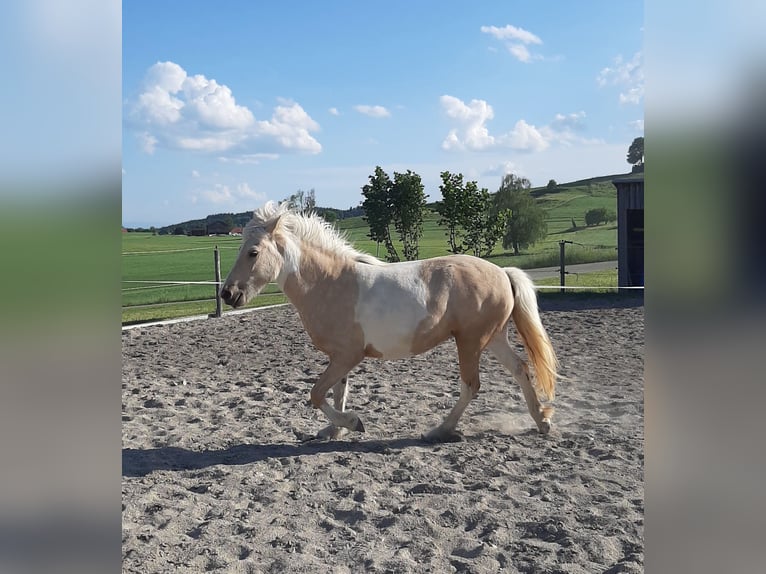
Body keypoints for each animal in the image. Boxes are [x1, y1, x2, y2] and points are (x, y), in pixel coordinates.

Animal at [220, 201, 558, 442]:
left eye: (253, 252)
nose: (227, 294)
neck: (329, 282)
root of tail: (502, 272)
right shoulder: (340, 357)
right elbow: (337, 392)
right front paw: (335, 431)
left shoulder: (348, 355)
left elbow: (317, 394)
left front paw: (353, 423)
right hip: (493, 337)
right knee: (520, 369)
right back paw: (542, 421)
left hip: (471, 341)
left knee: (471, 386)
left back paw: (439, 430)